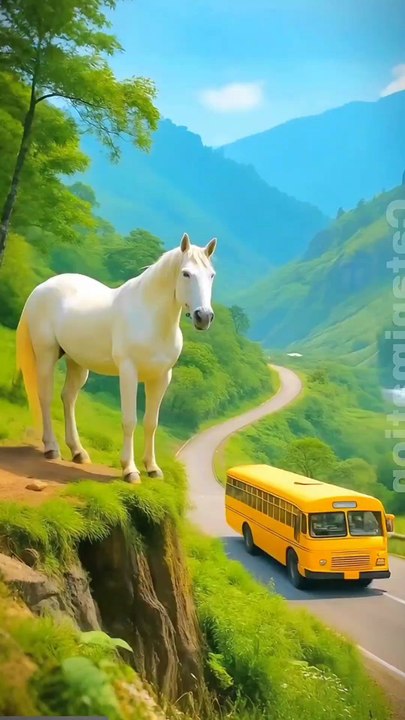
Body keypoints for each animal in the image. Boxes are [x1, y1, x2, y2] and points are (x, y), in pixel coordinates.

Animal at [16, 232, 217, 483]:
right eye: (186, 273)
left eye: (211, 275)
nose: (204, 317)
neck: (149, 317)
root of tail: (41, 288)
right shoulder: (129, 372)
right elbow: (129, 421)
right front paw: (130, 470)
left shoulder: (161, 378)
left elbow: (151, 423)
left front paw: (153, 468)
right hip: (46, 354)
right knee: (45, 395)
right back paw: (52, 448)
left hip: (77, 362)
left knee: (68, 398)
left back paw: (78, 452)